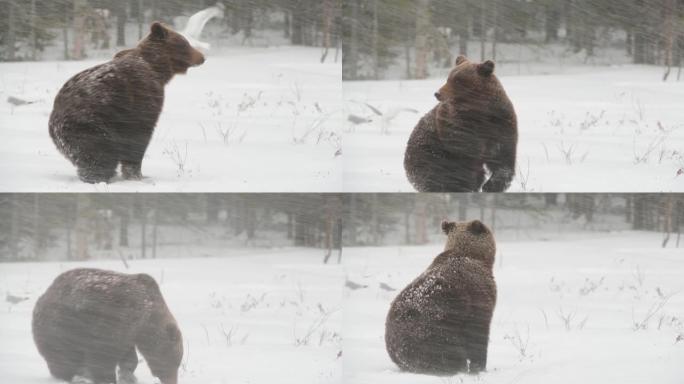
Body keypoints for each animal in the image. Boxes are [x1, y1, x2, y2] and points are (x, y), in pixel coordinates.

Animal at [32, 268, 183, 384]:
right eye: (174, 361)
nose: (172, 381)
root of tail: (43, 297)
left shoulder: (129, 333)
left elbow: (128, 357)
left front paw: (127, 375)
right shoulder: (117, 321)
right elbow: (103, 356)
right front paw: (108, 378)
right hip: (61, 326)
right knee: (64, 356)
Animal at [48, 21, 204, 184]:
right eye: (186, 43)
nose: (202, 57)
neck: (158, 69)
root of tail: (55, 117)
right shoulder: (143, 96)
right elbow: (138, 137)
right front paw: (137, 175)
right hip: (92, 124)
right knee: (100, 154)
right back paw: (99, 177)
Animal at [404, 55, 516, 192]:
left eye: (457, 80)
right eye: (448, 78)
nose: (437, 93)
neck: (480, 111)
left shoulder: (501, 122)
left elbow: (503, 156)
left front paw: (491, 186)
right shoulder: (458, 125)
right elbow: (466, 157)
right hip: (429, 154)